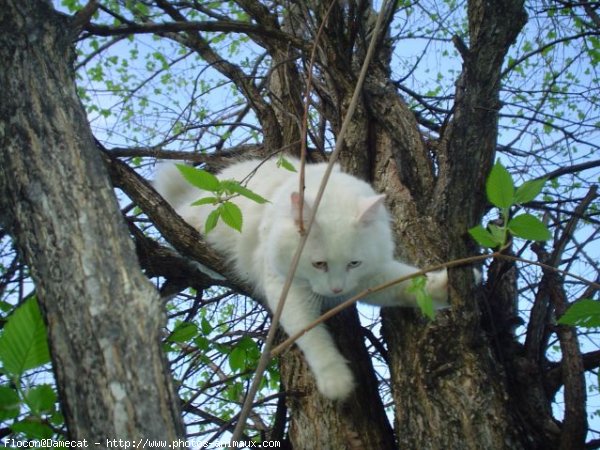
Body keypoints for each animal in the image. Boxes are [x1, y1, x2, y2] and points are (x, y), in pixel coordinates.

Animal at [155, 158, 450, 400]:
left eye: (353, 264)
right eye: (319, 264)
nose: (336, 289)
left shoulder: (371, 277)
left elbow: (408, 282)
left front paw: (442, 286)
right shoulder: (287, 289)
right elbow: (311, 335)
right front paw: (337, 381)